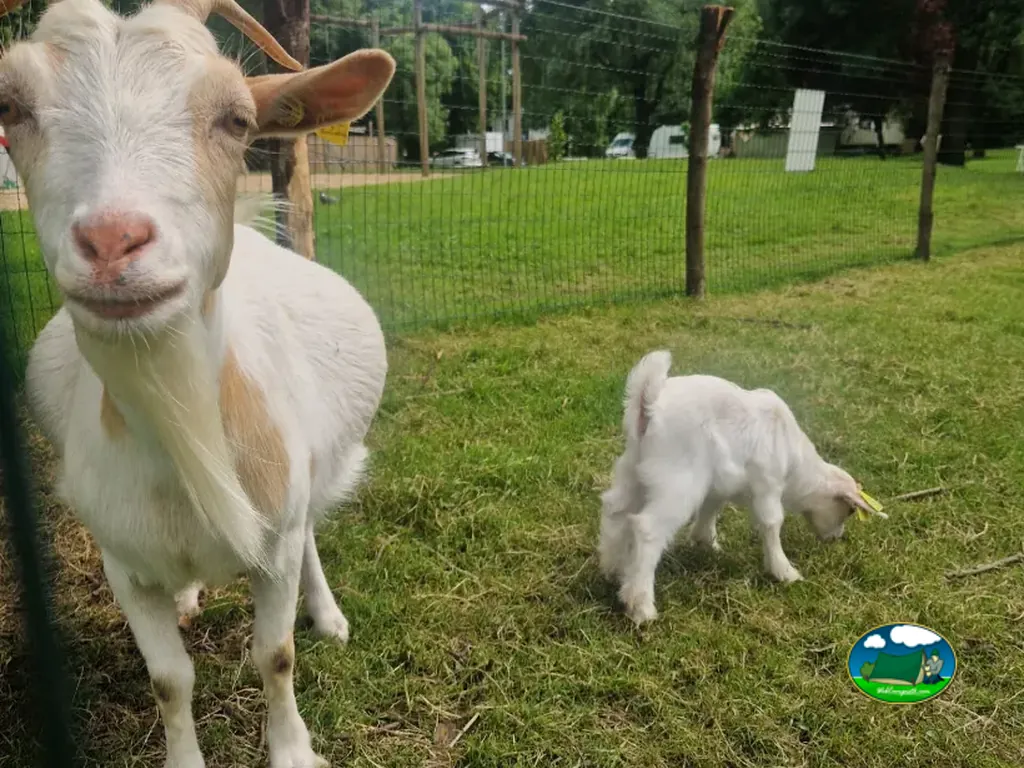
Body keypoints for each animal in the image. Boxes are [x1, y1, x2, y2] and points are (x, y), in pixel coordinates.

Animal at [4, 0, 396, 764]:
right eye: (11, 107)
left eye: (237, 119)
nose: (112, 241)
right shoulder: (120, 561)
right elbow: (168, 679)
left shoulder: (276, 532)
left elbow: (275, 655)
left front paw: (292, 749)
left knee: (312, 535)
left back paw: (328, 616)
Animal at [598, 350, 886, 626]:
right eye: (849, 510)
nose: (836, 538)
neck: (795, 459)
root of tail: (649, 405)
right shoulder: (768, 484)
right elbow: (772, 523)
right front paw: (784, 571)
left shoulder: (718, 485)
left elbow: (711, 509)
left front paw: (706, 542)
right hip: (677, 480)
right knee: (647, 528)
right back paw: (641, 607)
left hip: (633, 469)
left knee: (615, 510)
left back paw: (614, 570)